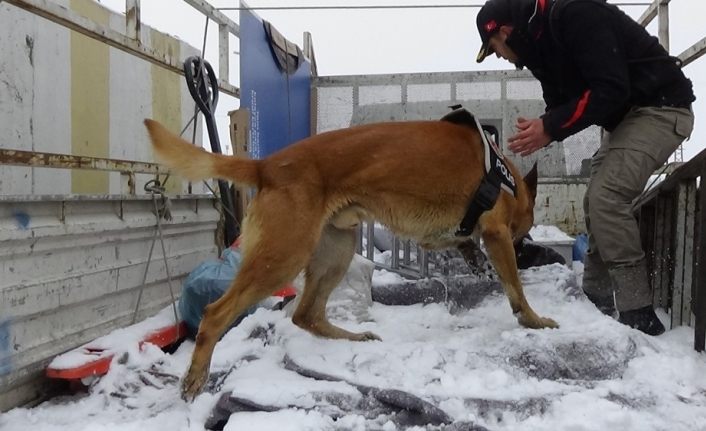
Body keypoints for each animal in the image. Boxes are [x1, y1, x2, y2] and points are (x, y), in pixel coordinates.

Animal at [143, 115, 560, 402]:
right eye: (523, 235)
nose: (532, 248)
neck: (504, 176)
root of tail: (266, 165)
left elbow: (466, 246)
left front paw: (477, 261)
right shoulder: (497, 233)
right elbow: (515, 286)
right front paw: (533, 318)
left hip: (336, 251)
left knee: (305, 314)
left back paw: (355, 337)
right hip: (283, 256)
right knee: (216, 314)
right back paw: (195, 379)